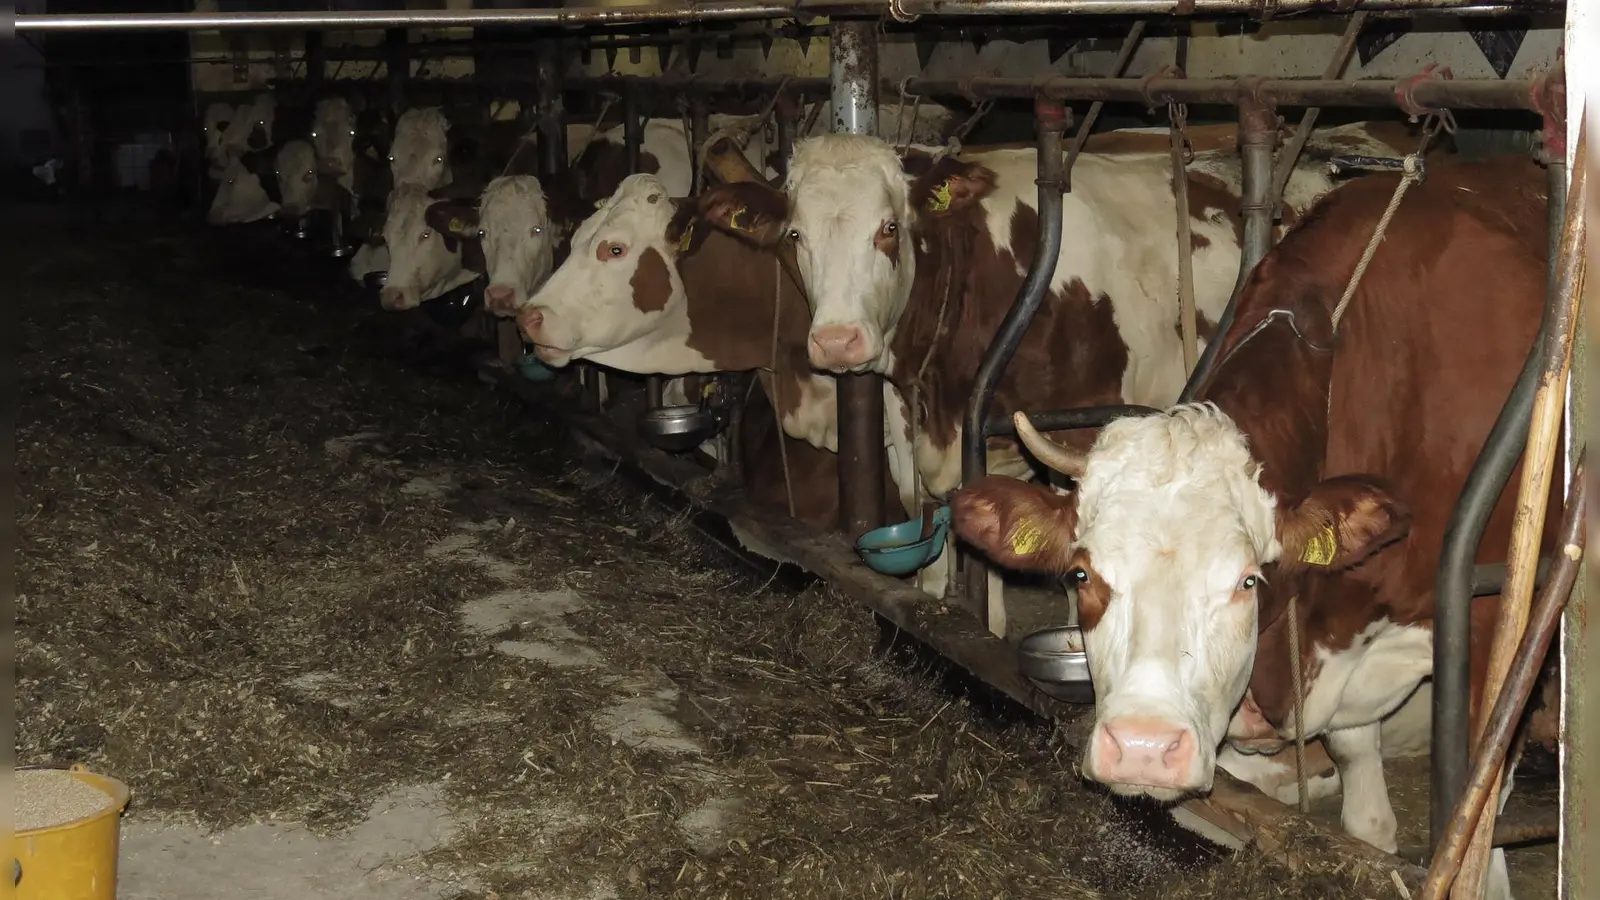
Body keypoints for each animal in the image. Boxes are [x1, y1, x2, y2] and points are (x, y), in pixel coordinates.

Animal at [940, 157, 1555, 890]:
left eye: (1247, 582)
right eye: (1082, 575)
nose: (1143, 747)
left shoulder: (1489, 633)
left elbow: (1477, 831)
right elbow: (1362, 803)